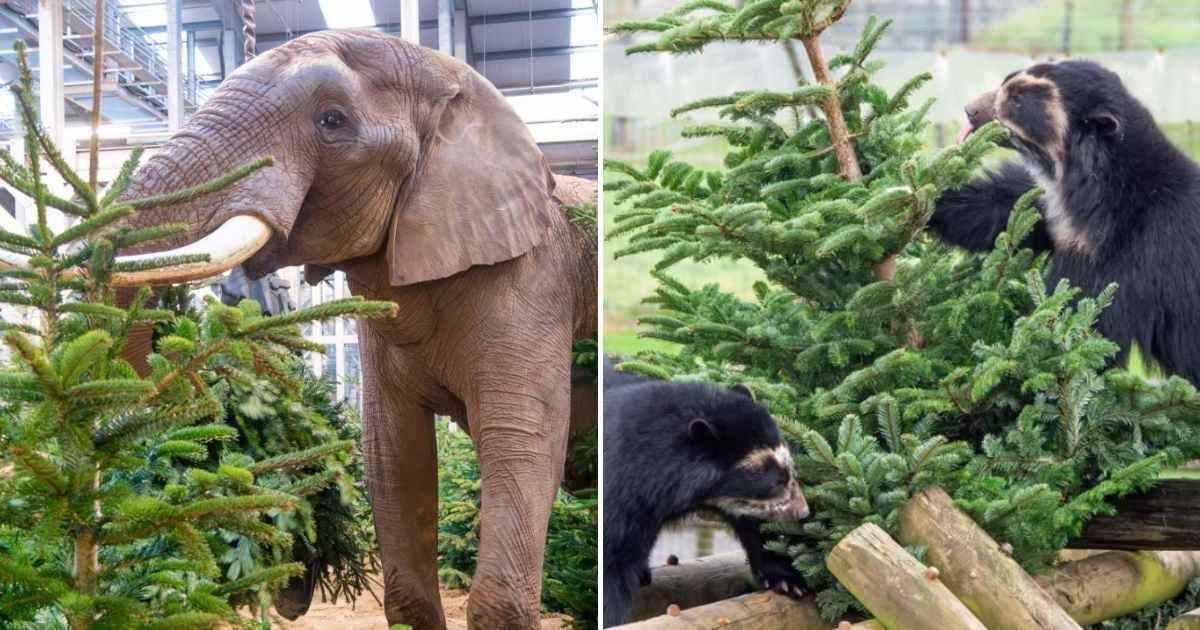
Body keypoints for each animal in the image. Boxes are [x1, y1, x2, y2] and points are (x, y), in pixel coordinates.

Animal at [602, 358, 809, 627]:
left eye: (791, 470)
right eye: (775, 482)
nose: (803, 512)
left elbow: (755, 524)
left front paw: (788, 580)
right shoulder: (621, 494)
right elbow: (612, 564)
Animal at [928, 60, 1200, 384]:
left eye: (1017, 101)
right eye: (1007, 82)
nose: (970, 110)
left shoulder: (1129, 256)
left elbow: (1076, 318)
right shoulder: (1052, 210)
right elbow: (1002, 205)